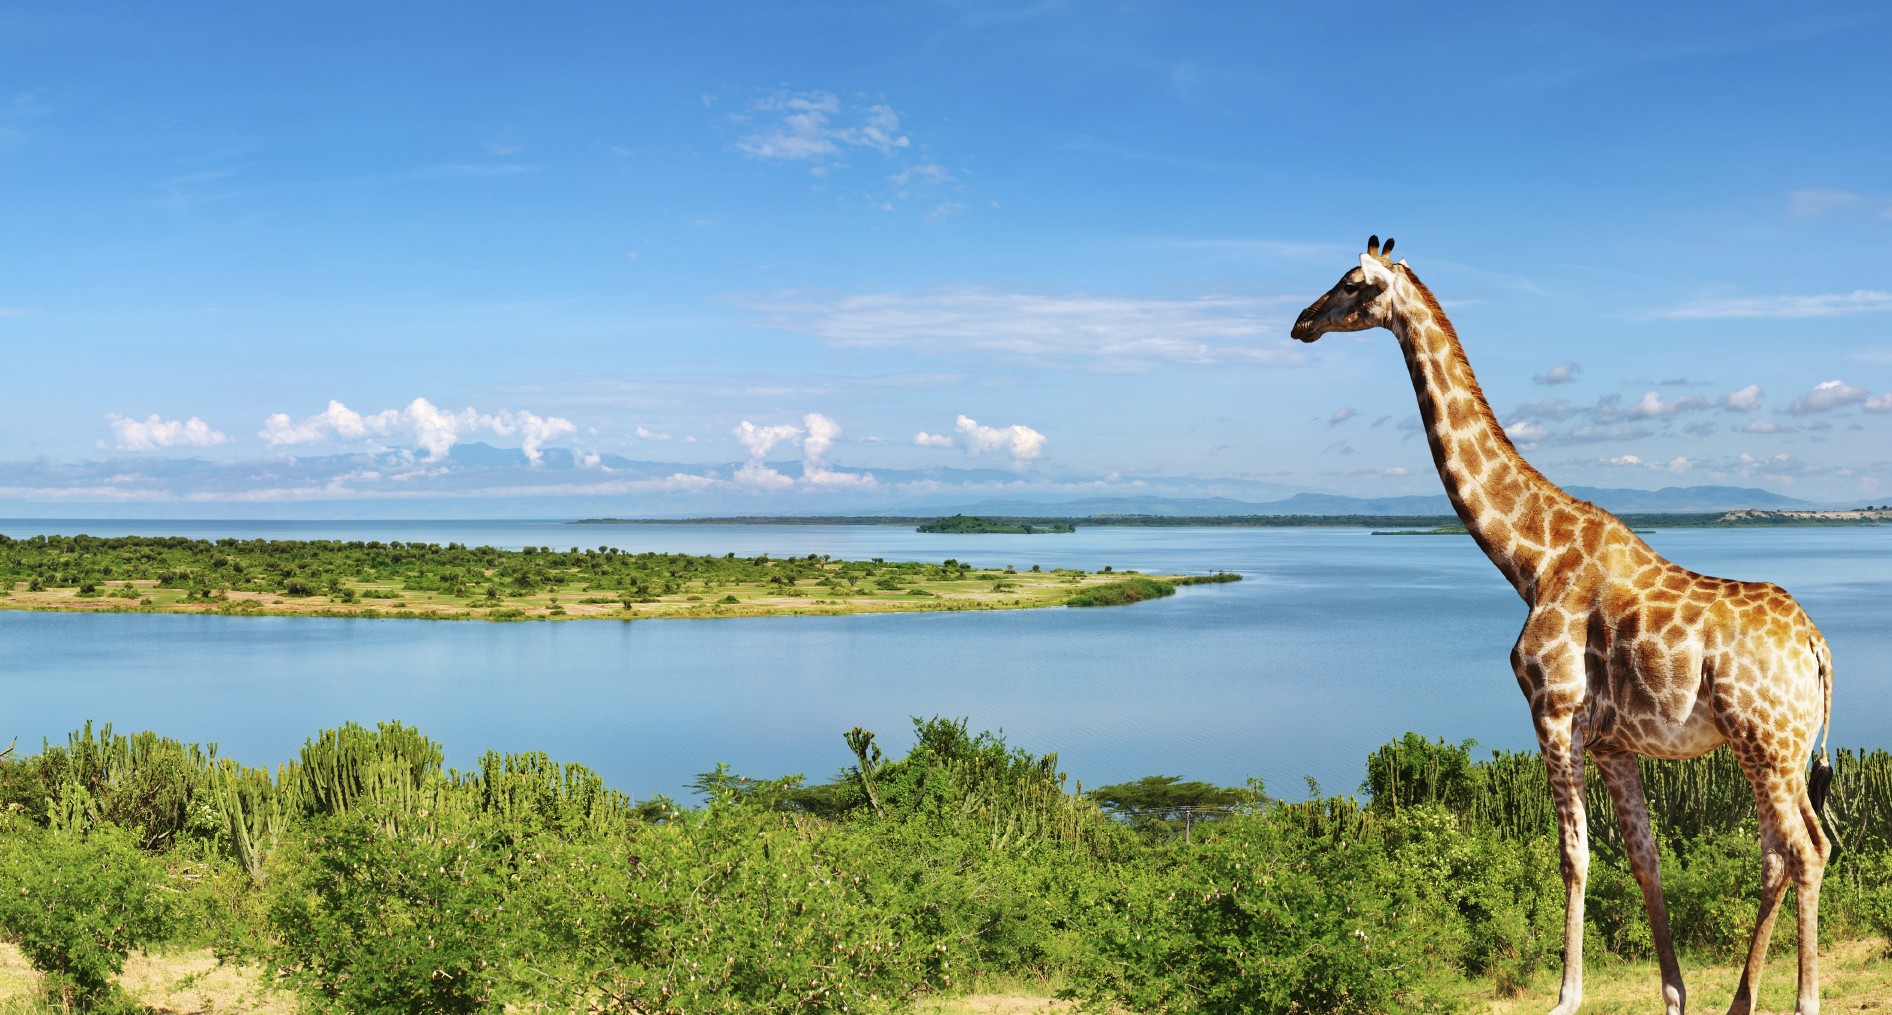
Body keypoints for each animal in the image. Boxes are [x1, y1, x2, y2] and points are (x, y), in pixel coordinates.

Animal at [1286, 235, 1831, 1015]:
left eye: (1354, 282)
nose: (1301, 321)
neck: (1531, 559)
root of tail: (1817, 646)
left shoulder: (1553, 710)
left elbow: (1574, 854)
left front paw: (1566, 995)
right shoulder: (1612, 743)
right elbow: (1643, 857)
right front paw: (1675, 993)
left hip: (1769, 742)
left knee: (1804, 851)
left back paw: (1803, 998)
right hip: (1770, 748)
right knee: (1785, 852)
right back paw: (1740, 999)